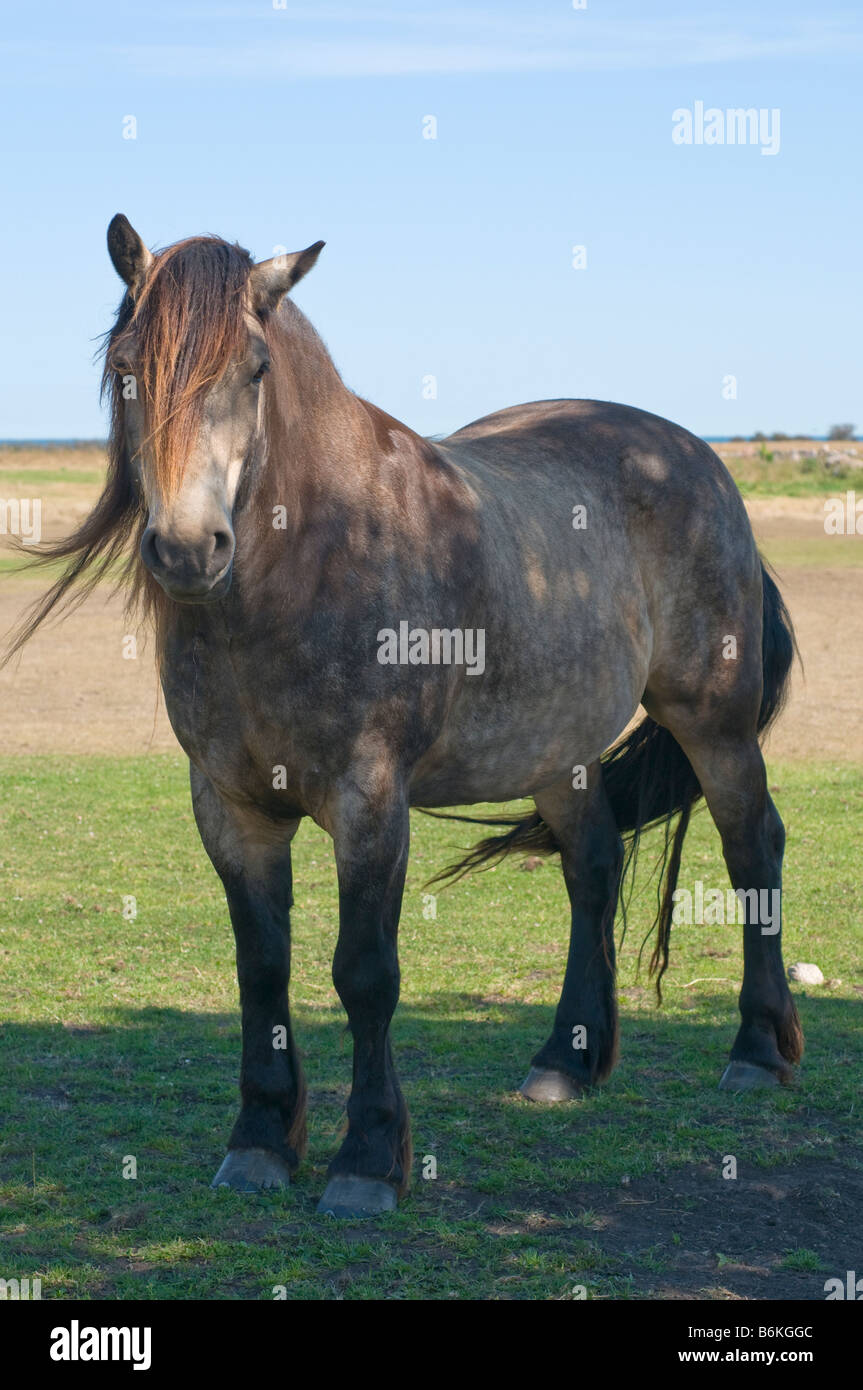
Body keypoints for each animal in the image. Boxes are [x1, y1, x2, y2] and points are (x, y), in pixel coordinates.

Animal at [6, 216, 800, 1217]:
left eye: (255, 370)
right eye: (125, 367)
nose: (188, 550)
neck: (315, 559)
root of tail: (697, 458)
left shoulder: (370, 801)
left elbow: (364, 974)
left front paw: (366, 1159)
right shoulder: (229, 807)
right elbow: (262, 970)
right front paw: (260, 1142)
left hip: (713, 723)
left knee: (751, 849)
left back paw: (758, 1051)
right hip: (557, 752)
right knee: (591, 868)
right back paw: (564, 1062)